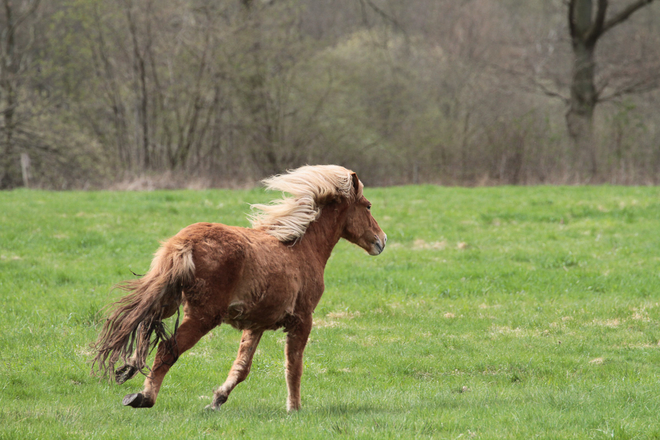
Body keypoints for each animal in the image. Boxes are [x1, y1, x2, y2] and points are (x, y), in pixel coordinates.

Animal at [90, 163, 384, 410]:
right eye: (368, 206)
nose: (381, 241)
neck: (301, 247)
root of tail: (184, 243)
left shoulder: (257, 324)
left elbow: (242, 366)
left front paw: (217, 400)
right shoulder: (302, 320)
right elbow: (293, 366)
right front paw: (294, 408)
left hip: (168, 300)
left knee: (142, 327)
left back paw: (128, 368)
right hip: (202, 316)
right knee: (165, 349)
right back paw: (143, 396)